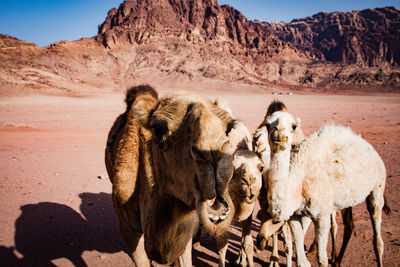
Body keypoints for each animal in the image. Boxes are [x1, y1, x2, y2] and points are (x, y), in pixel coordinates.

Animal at [262, 103, 388, 266]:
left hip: (378, 185)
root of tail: (369, 148)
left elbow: (322, 259)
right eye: (267, 124)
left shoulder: (321, 215)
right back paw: (337, 260)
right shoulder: (294, 216)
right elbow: (302, 260)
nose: (278, 133)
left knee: (377, 237)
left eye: (294, 126)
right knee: (349, 225)